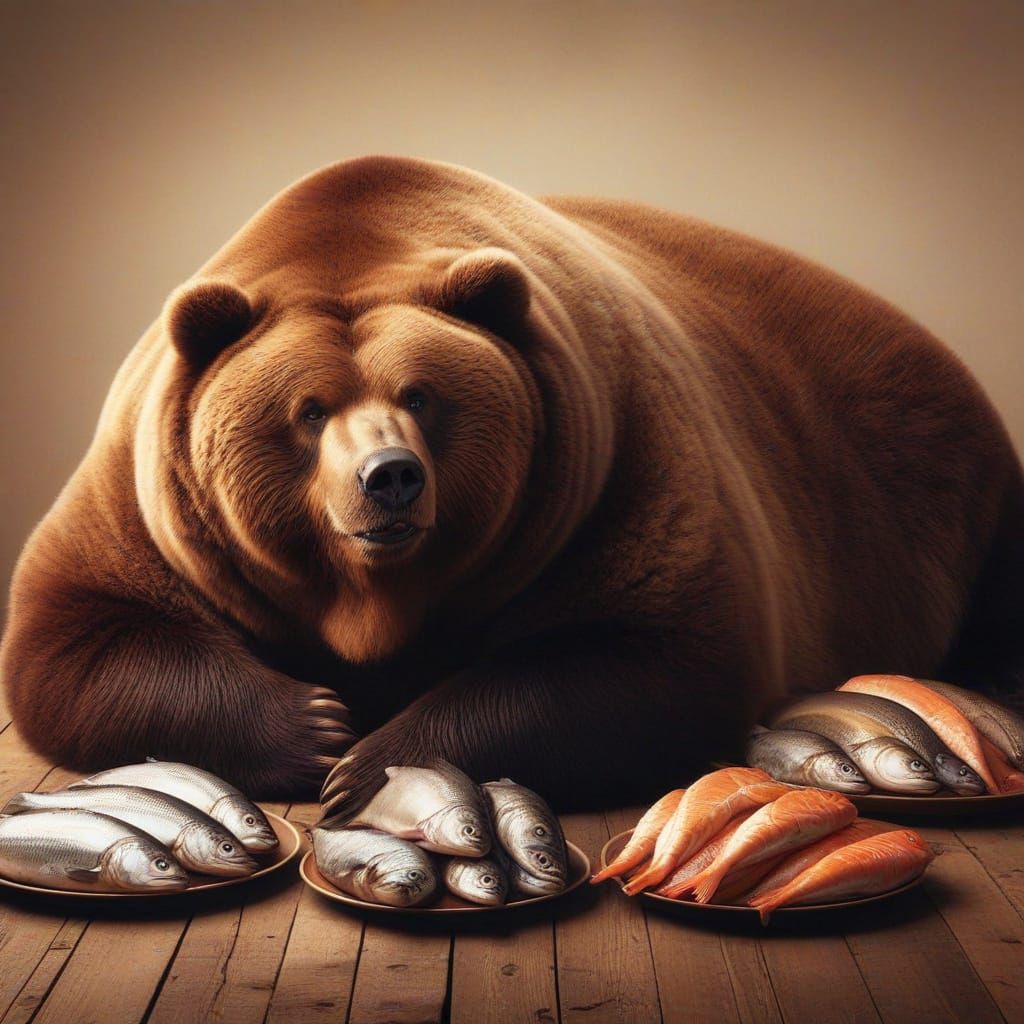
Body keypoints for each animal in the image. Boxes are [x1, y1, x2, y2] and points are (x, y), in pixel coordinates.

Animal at [2, 155, 1022, 818]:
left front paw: (368, 761)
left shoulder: (619, 467)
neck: (376, 605)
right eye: (309, 411)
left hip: (939, 493)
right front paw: (315, 726)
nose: (390, 479)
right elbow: (78, 637)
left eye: (421, 393)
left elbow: (656, 658)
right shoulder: (149, 506)